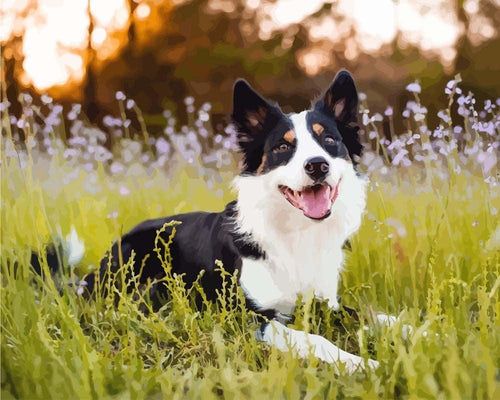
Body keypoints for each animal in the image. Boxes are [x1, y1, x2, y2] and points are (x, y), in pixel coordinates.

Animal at [32, 70, 402, 374]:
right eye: (283, 147)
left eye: (329, 141)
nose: (317, 165)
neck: (295, 233)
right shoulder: (249, 317)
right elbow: (315, 339)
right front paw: (364, 363)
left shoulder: (326, 304)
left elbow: (377, 315)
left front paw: (412, 331)